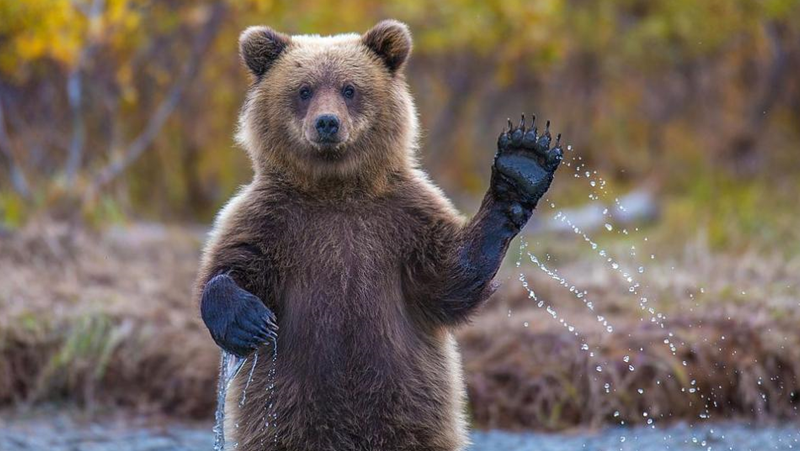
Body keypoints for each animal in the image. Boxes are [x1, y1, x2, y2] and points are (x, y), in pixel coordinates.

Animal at [196, 18, 564, 451]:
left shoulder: (403, 219)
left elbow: (448, 279)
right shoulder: (271, 219)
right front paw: (247, 320)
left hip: (411, 409)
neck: (335, 189)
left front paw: (522, 165)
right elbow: (232, 265)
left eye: (349, 88)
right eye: (303, 90)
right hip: (284, 414)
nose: (327, 123)